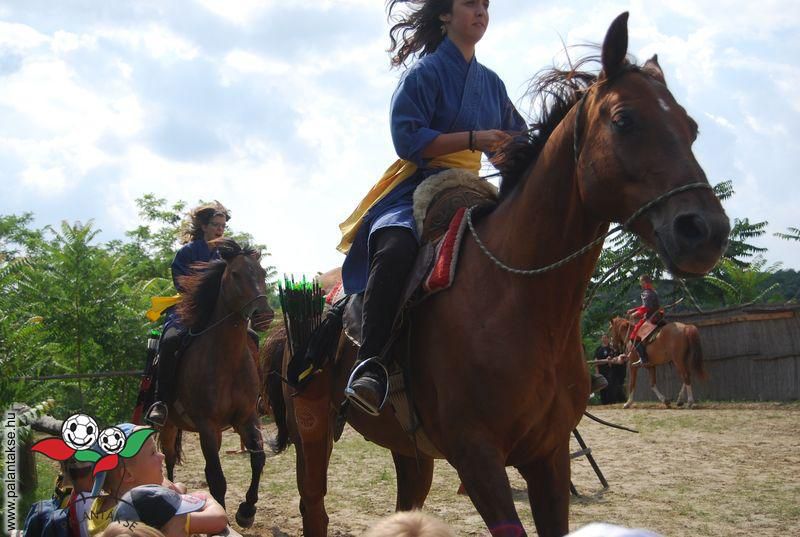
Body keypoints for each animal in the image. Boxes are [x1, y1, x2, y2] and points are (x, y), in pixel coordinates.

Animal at [158, 238, 274, 528]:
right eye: (235, 274)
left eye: (262, 273)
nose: (264, 315)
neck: (225, 360)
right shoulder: (207, 426)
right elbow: (216, 478)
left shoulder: (246, 418)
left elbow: (258, 459)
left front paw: (246, 510)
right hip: (167, 424)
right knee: (168, 457)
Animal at [267, 13, 729, 537]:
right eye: (624, 120)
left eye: (691, 129)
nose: (705, 231)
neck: (521, 302)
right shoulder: (478, 459)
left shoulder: (549, 454)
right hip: (312, 425)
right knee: (314, 507)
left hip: (409, 449)